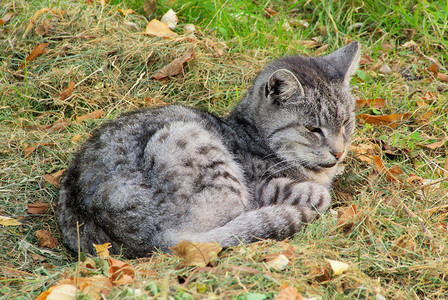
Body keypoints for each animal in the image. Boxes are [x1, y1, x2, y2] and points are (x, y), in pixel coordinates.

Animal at [57, 42, 362, 258]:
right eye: (313, 129)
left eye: (346, 122)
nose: (339, 152)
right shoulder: (261, 186)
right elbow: (314, 193)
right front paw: (319, 194)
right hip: (191, 143)